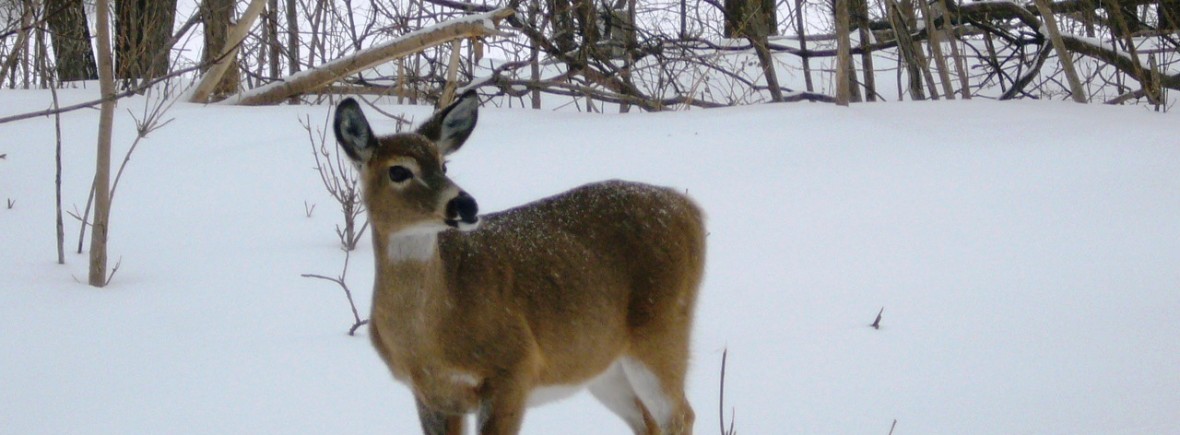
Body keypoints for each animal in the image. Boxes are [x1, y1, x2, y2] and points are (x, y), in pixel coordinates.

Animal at [328, 89, 703, 431]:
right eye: (398, 171)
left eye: (443, 164)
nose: (466, 205)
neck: (431, 340)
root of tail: (689, 209)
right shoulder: (431, 395)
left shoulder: (514, 366)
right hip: (602, 363)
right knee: (648, 420)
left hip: (662, 328)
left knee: (680, 415)